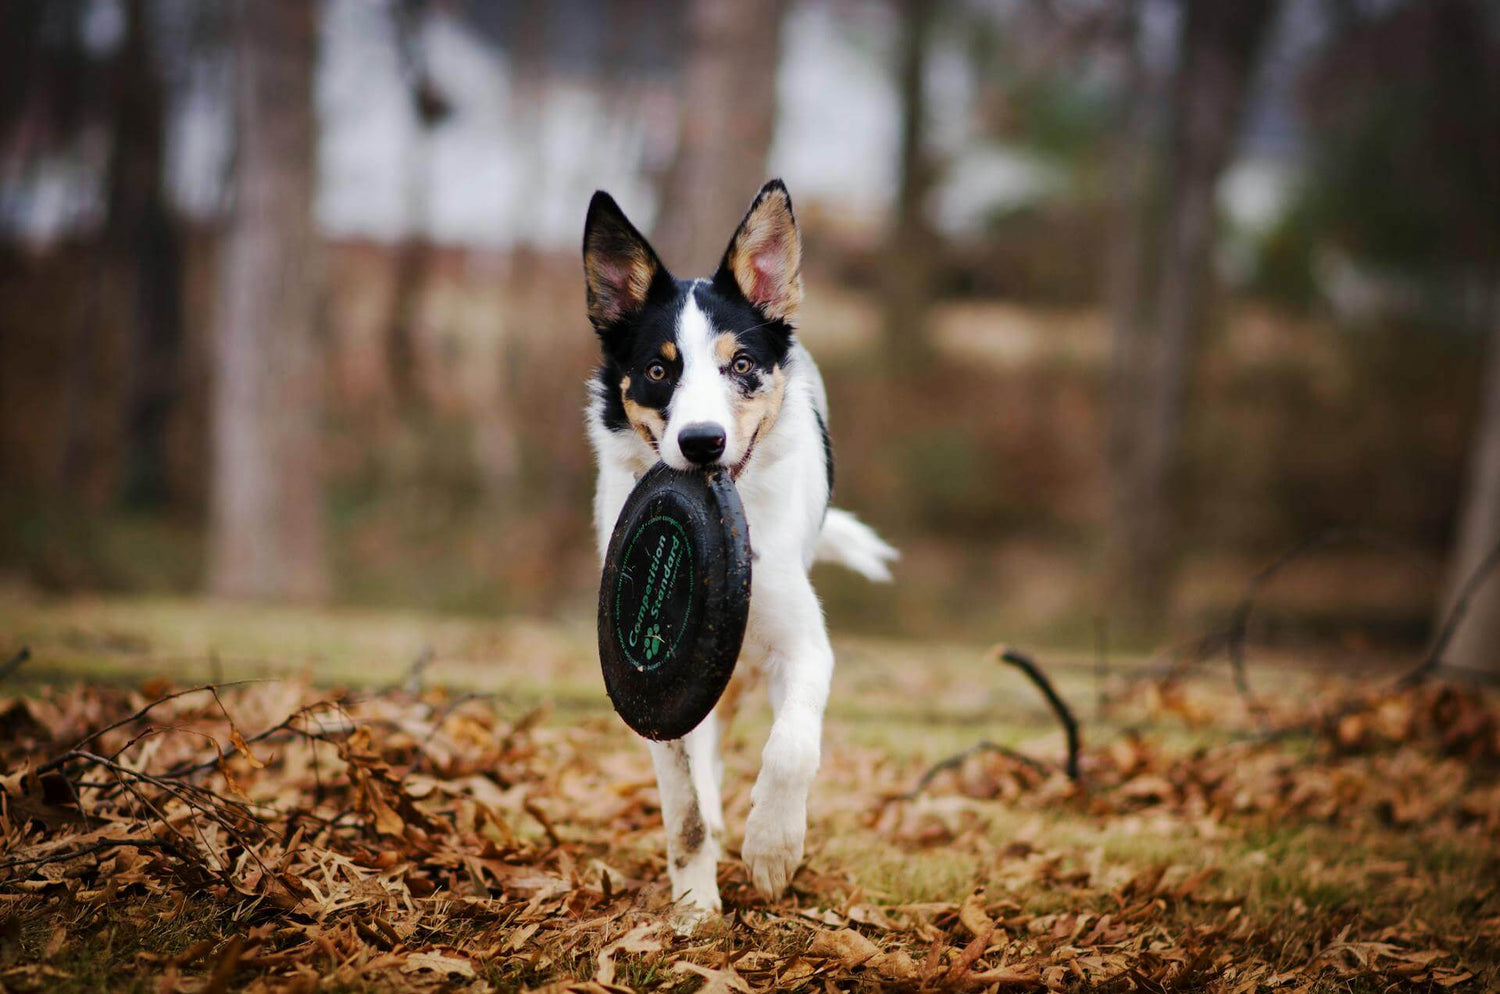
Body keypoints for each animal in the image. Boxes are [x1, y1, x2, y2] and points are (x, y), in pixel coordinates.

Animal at [582, 180, 888, 923]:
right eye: (658, 369)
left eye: (741, 366)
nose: (701, 443)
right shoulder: (656, 697)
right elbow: (684, 807)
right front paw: (695, 904)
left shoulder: (802, 645)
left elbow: (791, 749)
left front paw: (773, 849)